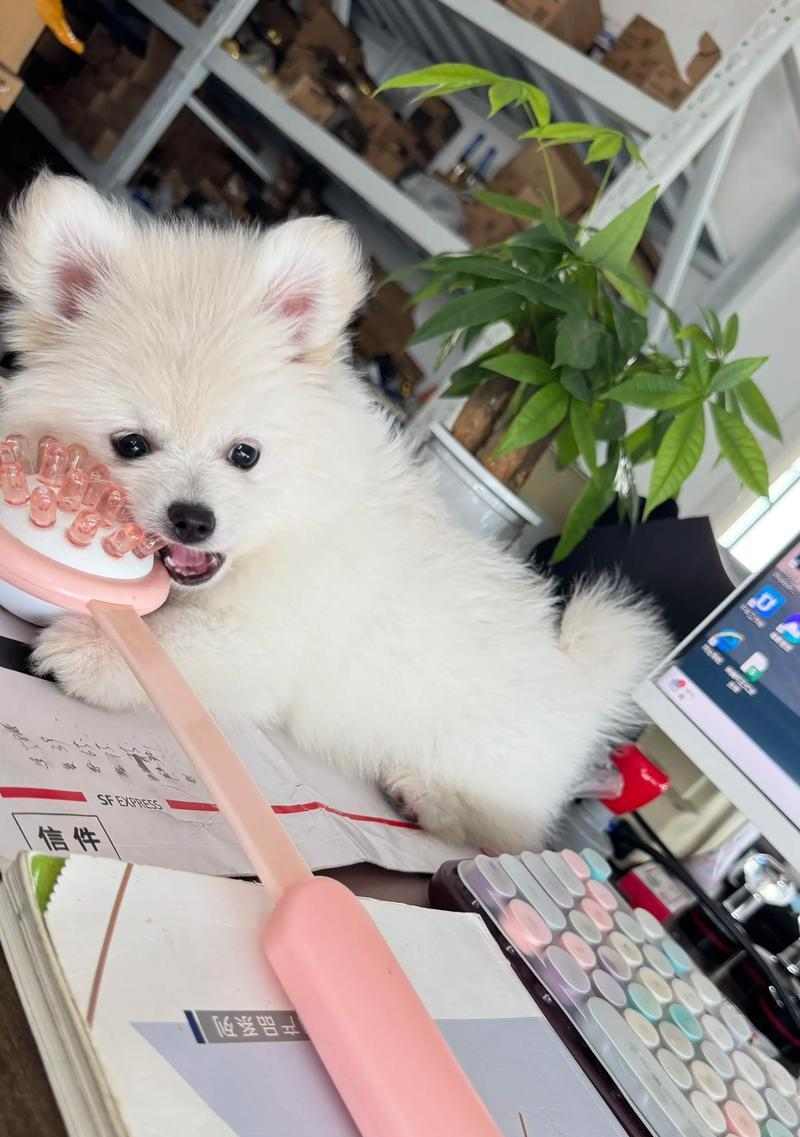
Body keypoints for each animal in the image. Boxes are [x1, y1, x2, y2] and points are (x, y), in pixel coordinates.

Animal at [0, 173, 666, 852]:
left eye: (245, 455)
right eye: (130, 445)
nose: (192, 519)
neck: (284, 526)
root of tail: (582, 684)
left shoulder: (270, 638)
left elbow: (175, 648)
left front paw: (90, 650)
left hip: (490, 766)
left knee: (499, 828)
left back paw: (426, 797)